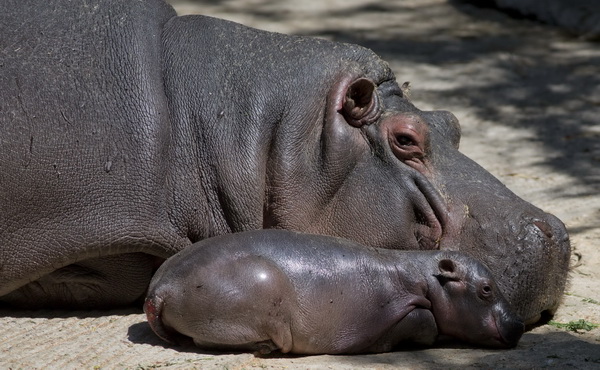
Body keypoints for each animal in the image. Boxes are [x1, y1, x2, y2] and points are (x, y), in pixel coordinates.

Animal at [143, 230, 524, 354]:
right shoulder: (404, 311)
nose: (519, 324)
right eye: (486, 289)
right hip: (262, 287)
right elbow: (425, 320)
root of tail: (158, 289)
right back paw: (267, 349)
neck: (426, 278)